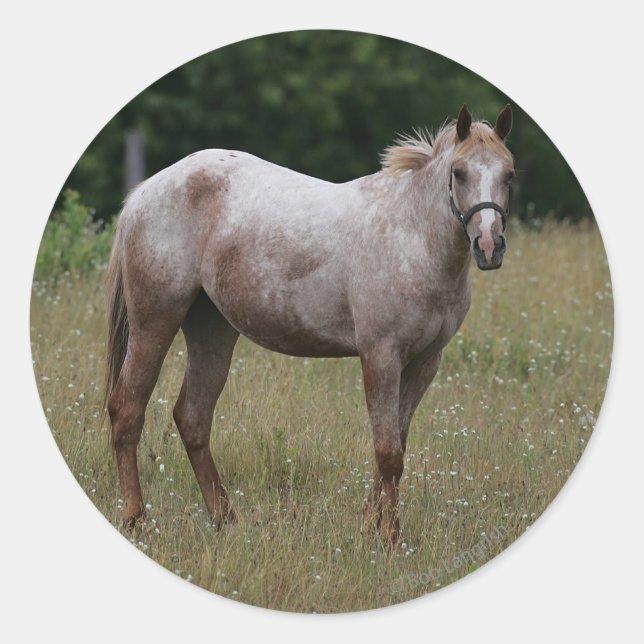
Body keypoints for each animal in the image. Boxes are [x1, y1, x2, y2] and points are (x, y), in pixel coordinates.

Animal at [103, 103, 514, 545]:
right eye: (459, 172)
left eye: (509, 174)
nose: (488, 246)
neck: (413, 237)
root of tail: (145, 191)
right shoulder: (381, 356)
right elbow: (388, 453)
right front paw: (389, 539)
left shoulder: (425, 363)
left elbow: (395, 445)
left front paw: (370, 527)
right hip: (154, 322)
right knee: (127, 410)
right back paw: (136, 519)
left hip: (211, 331)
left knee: (193, 419)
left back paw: (225, 519)